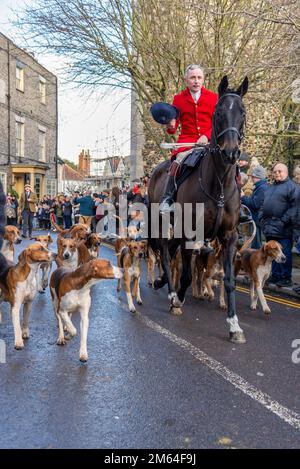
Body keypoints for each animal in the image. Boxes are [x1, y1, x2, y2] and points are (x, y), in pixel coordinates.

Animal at [148, 76, 248, 344]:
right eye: (218, 112)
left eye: (243, 112)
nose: (231, 152)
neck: (219, 183)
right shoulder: (190, 233)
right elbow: (185, 274)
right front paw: (177, 299)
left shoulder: (229, 236)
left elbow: (229, 280)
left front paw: (234, 325)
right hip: (161, 222)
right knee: (164, 251)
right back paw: (170, 291)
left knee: (170, 250)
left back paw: (162, 282)